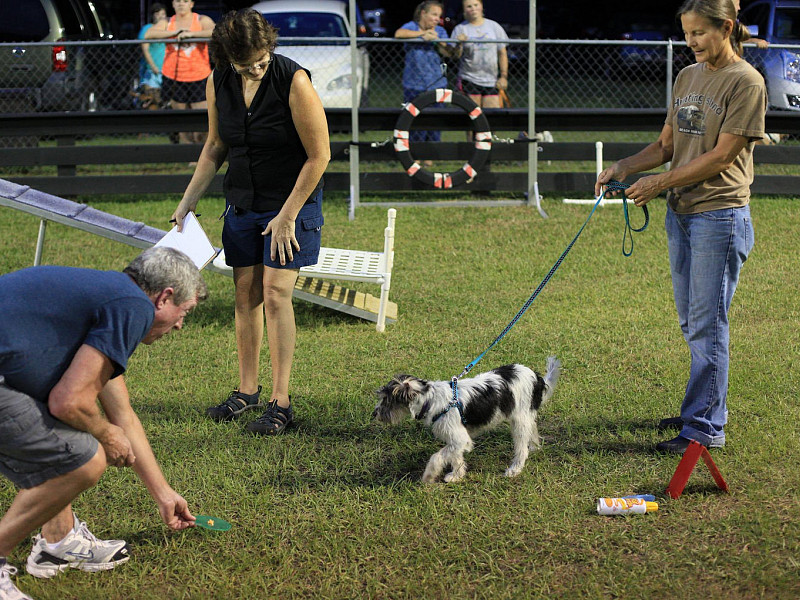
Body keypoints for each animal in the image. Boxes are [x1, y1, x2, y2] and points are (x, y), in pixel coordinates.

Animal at [372, 356, 560, 482]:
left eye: (386, 400)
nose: (374, 414)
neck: (431, 399)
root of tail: (537, 377)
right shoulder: (457, 440)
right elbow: (455, 456)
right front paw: (457, 475)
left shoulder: (458, 438)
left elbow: (437, 456)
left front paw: (429, 476)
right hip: (525, 415)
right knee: (532, 429)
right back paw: (534, 447)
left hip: (519, 420)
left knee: (521, 448)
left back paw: (515, 469)